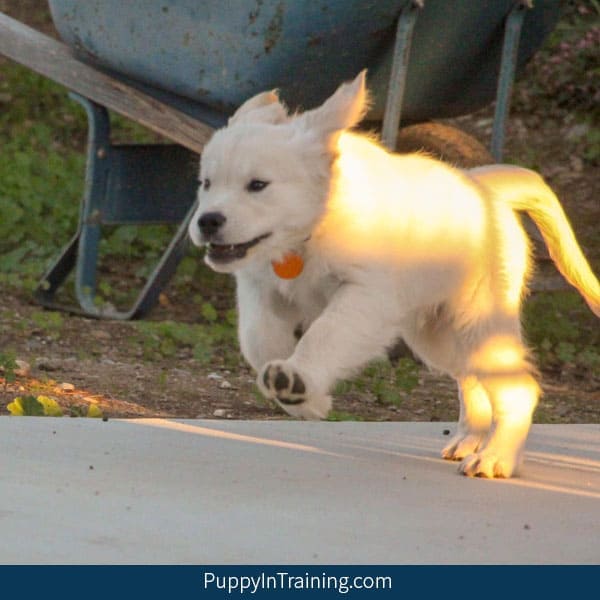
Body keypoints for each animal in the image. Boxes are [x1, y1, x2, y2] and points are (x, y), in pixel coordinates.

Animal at [189, 70, 600, 478]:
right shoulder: (261, 288)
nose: (207, 222)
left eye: (258, 185)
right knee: (471, 378)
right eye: (206, 183)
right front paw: (305, 399)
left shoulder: (365, 296)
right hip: (435, 334)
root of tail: (486, 189)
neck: (312, 230)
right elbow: (258, 341)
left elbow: (324, 334)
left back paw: (496, 457)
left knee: (518, 388)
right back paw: (469, 439)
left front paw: (297, 379)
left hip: (478, 319)